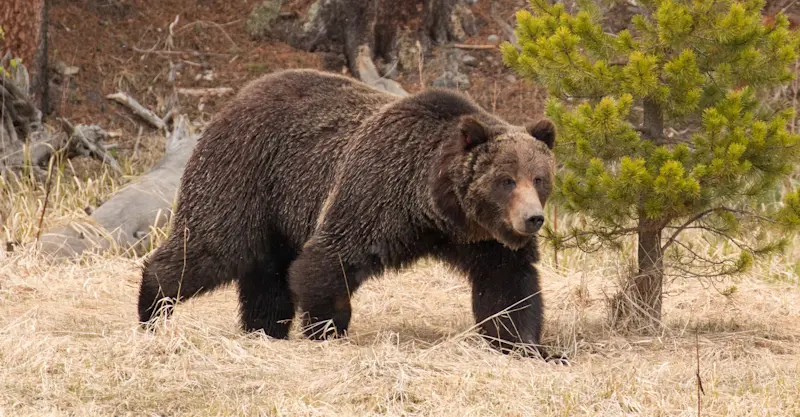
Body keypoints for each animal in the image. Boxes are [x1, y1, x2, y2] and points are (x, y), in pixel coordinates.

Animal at [138, 68, 563, 361]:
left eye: (539, 178)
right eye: (506, 180)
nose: (532, 219)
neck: (434, 209)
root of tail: (239, 96)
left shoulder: (486, 240)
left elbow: (509, 288)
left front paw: (530, 347)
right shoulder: (376, 192)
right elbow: (328, 261)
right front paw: (328, 330)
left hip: (277, 213)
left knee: (266, 274)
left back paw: (263, 329)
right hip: (245, 174)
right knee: (211, 246)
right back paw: (152, 309)